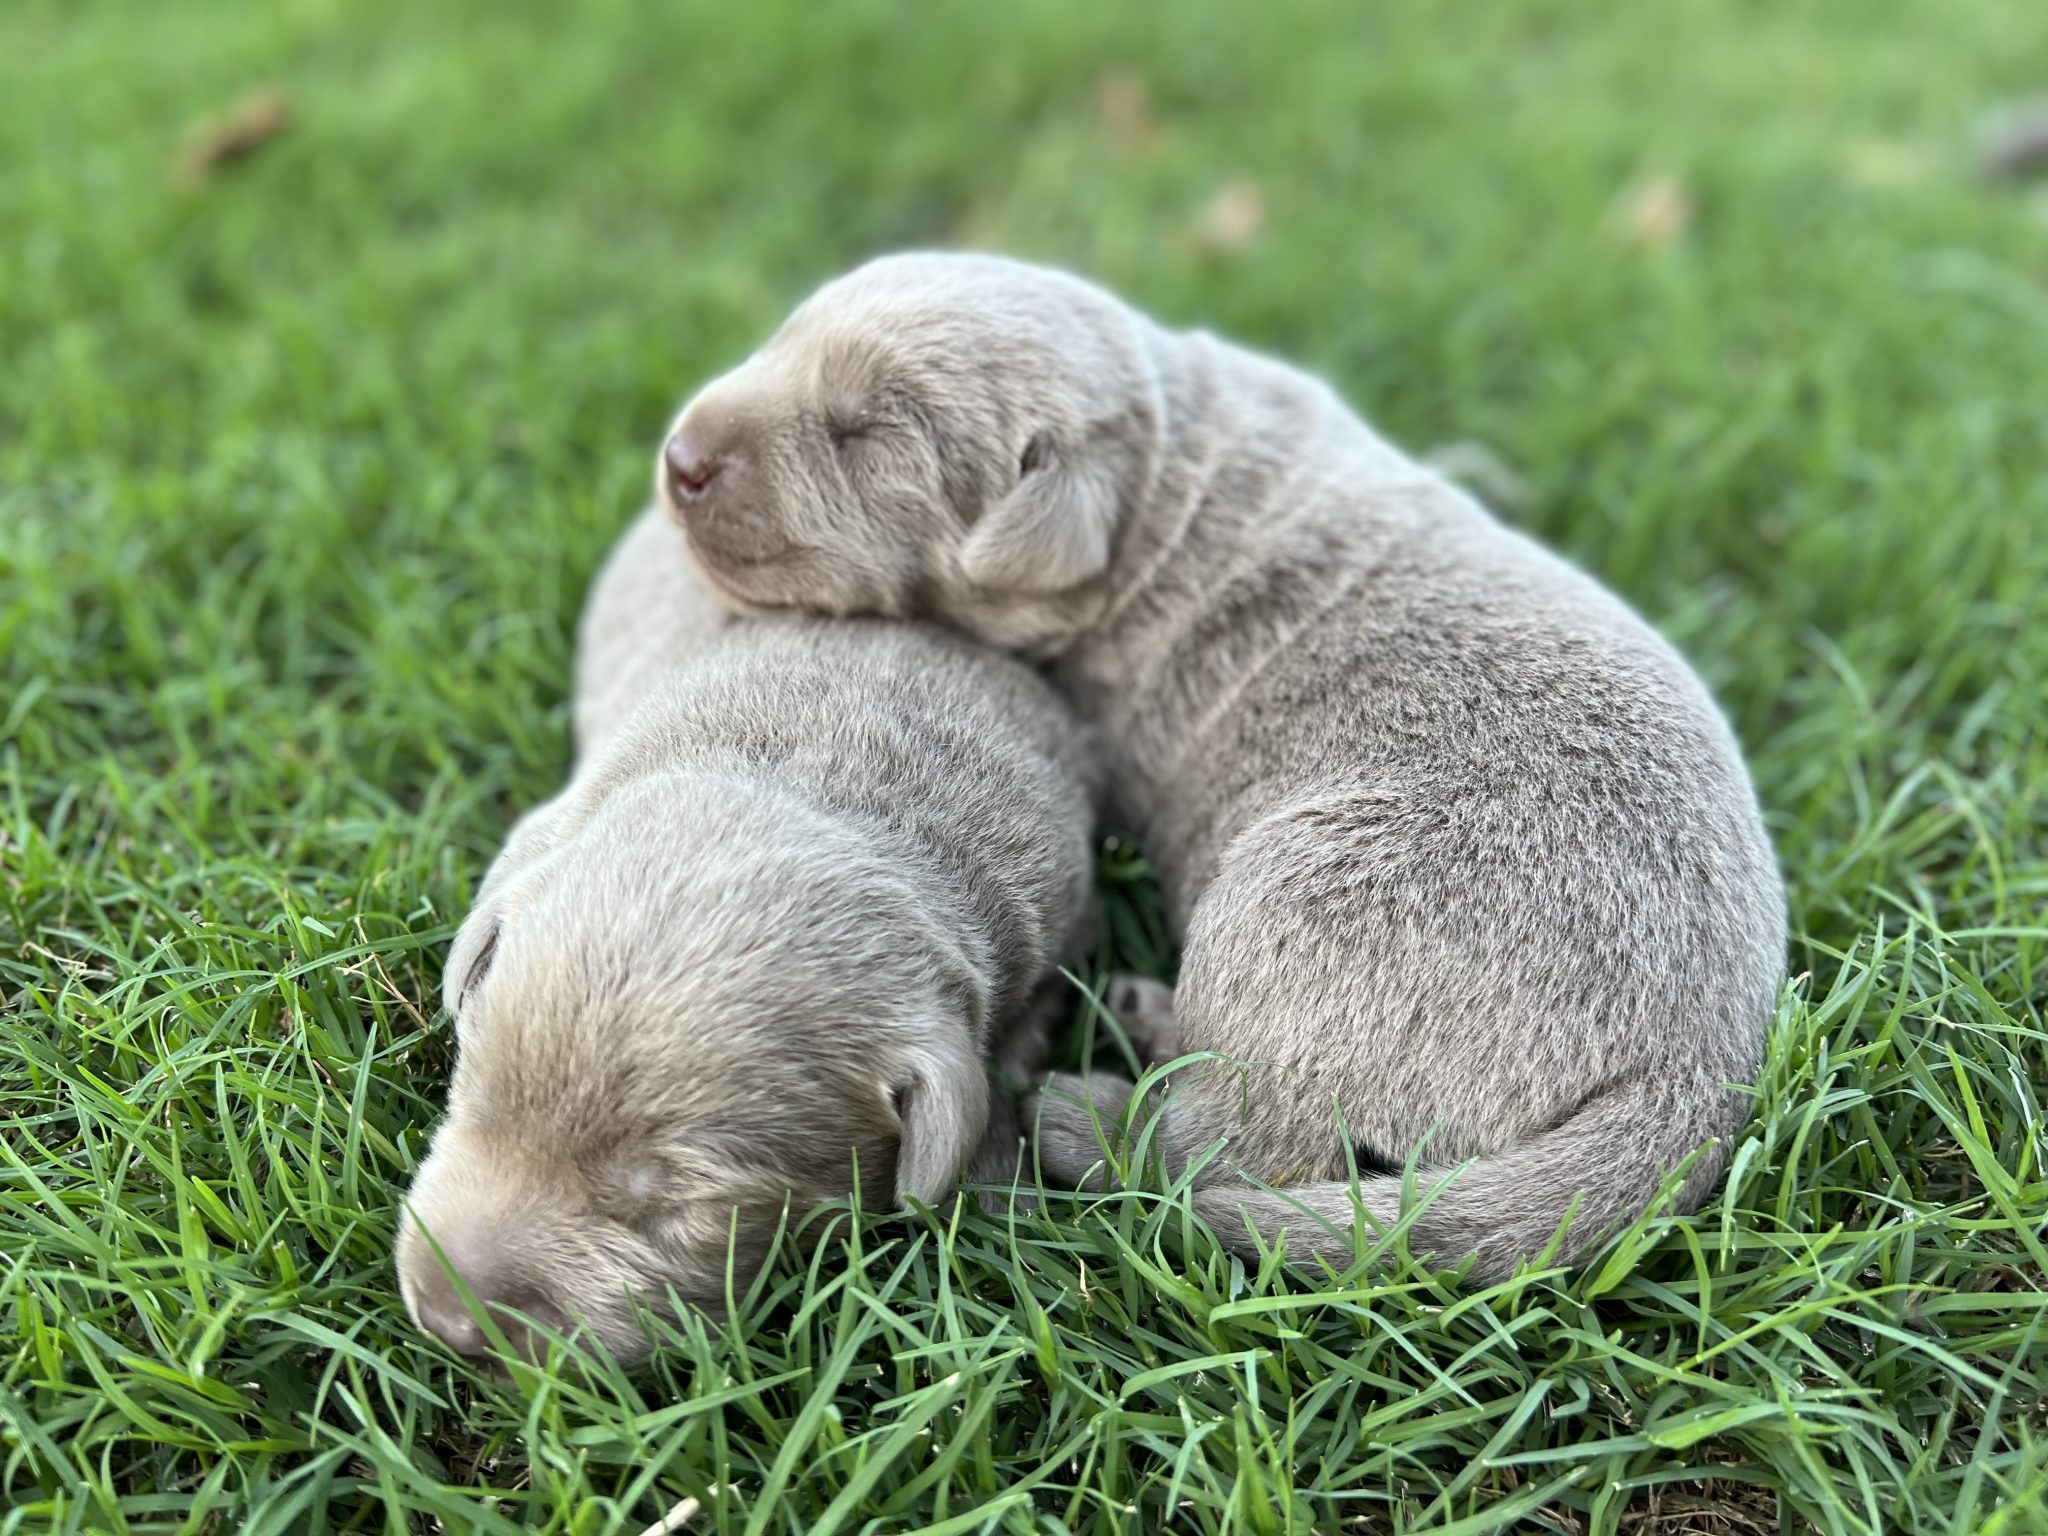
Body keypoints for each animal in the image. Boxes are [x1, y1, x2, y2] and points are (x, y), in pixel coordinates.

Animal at [659, 256, 1794, 1286]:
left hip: (1297, 905)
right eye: (782, 339)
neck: (1168, 478)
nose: (678, 457)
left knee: (1241, 1141)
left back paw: (1086, 1120)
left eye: (868, 433)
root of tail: (1699, 1065)